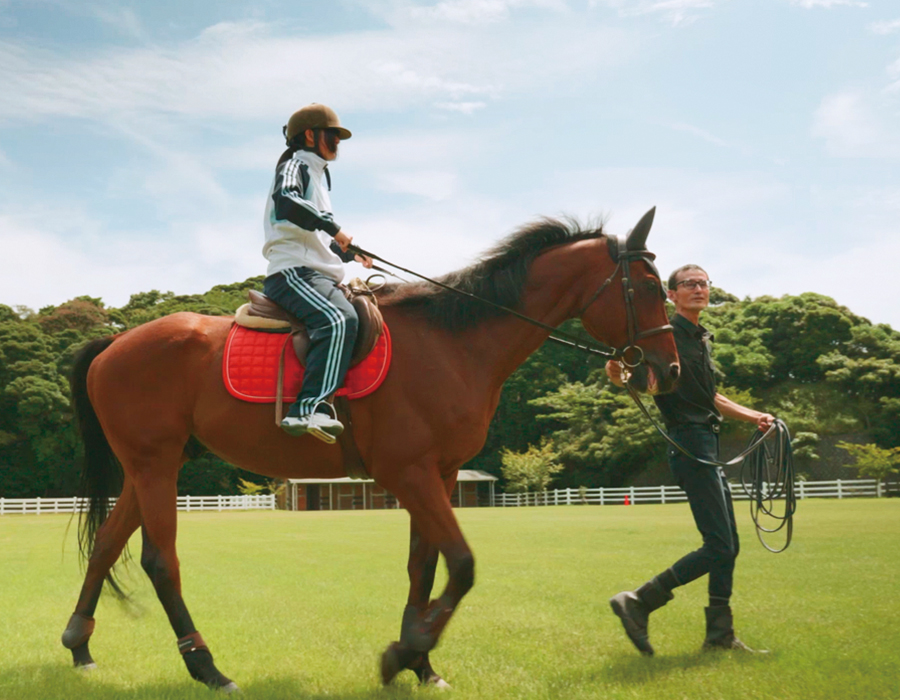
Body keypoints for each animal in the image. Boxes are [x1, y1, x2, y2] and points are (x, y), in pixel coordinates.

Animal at [63, 211, 680, 692]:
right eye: (650, 289)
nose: (670, 370)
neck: (452, 343)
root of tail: (116, 342)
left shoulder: (438, 473)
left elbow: (423, 566)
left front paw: (421, 661)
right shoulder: (409, 473)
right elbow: (461, 564)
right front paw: (403, 654)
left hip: (150, 467)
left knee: (107, 545)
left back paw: (79, 646)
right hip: (155, 465)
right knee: (159, 561)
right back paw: (207, 667)